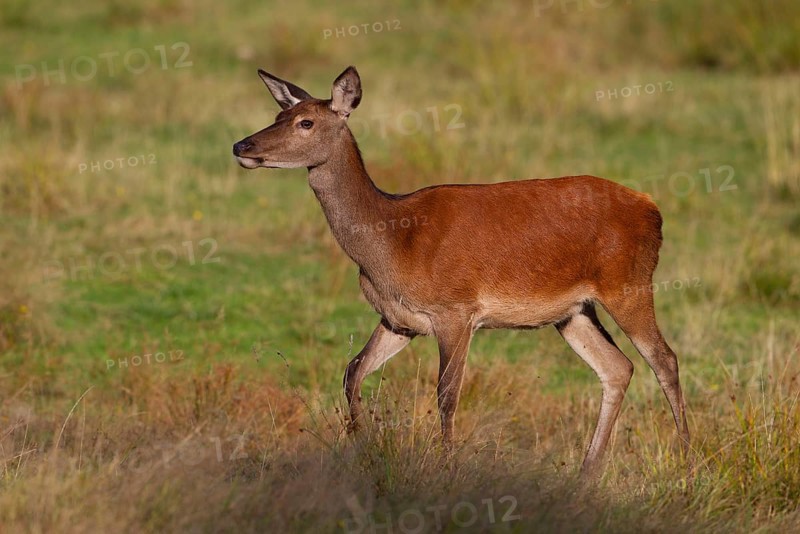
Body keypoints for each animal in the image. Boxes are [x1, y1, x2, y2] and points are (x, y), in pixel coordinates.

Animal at [232, 66, 690, 475]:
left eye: (306, 122)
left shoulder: (456, 309)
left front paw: (447, 467)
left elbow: (446, 393)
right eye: (278, 115)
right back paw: (587, 471)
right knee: (618, 367)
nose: (241, 145)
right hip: (573, 311)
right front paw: (363, 450)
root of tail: (653, 209)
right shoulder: (399, 318)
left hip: (629, 282)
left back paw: (686, 463)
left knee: (664, 359)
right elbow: (353, 372)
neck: (393, 244)